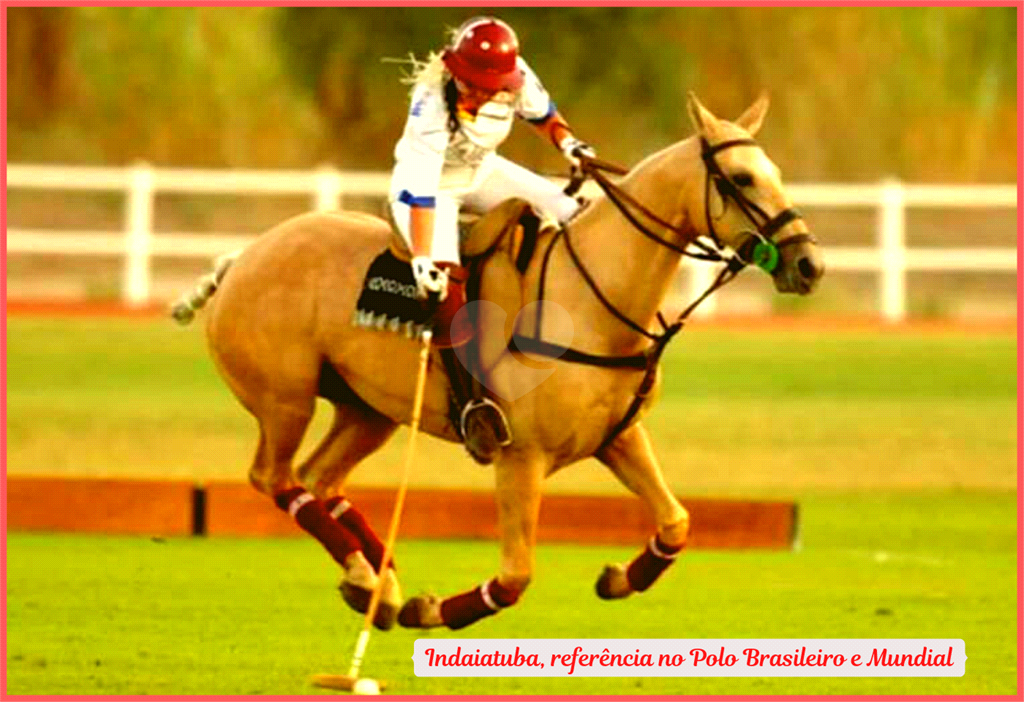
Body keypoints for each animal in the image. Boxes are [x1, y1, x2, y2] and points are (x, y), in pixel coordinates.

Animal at [176, 92, 823, 634]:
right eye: (741, 178)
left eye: (776, 173)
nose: (809, 264)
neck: (591, 298)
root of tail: (241, 258)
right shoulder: (520, 456)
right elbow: (515, 576)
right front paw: (434, 609)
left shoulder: (620, 435)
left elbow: (677, 523)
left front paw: (619, 577)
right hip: (283, 399)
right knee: (276, 478)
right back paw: (372, 579)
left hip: (368, 411)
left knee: (319, 479)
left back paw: (376, 583)